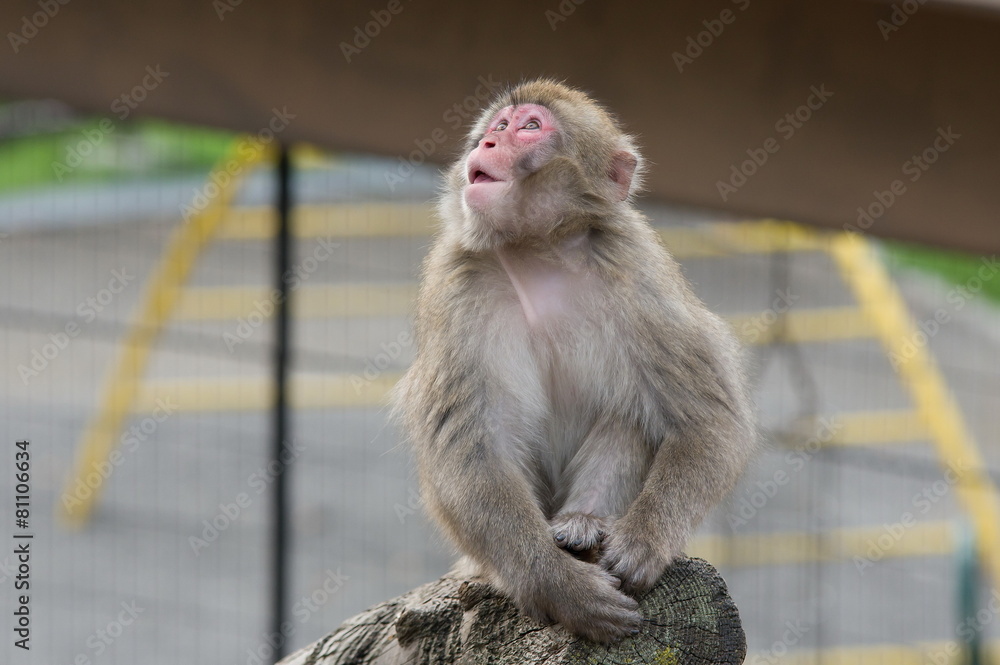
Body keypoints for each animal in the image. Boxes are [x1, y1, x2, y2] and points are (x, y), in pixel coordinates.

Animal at [394, 79, 756, 642]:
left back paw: (584, 523)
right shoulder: (453, 280)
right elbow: (472, 452)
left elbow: (710, 421)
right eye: (499, 126)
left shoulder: (636, 265)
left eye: (530, 127)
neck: (539, 251)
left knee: (633, 410)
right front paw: (558, 585)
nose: (488, 144)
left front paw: (644, 542)